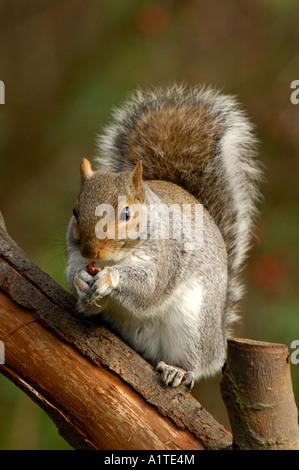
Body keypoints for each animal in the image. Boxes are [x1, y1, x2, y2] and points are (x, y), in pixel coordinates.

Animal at [66, 83, 262, 390]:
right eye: (75, 211)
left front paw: (111, 279)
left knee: (196, 362)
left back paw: (178, 370)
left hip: (194, 326)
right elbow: (72, 271)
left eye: (126, 213)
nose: (91, 252)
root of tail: (219, 338)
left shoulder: (168, 255)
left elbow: (150, 287)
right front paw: (80, 280)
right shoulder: (75, 254)